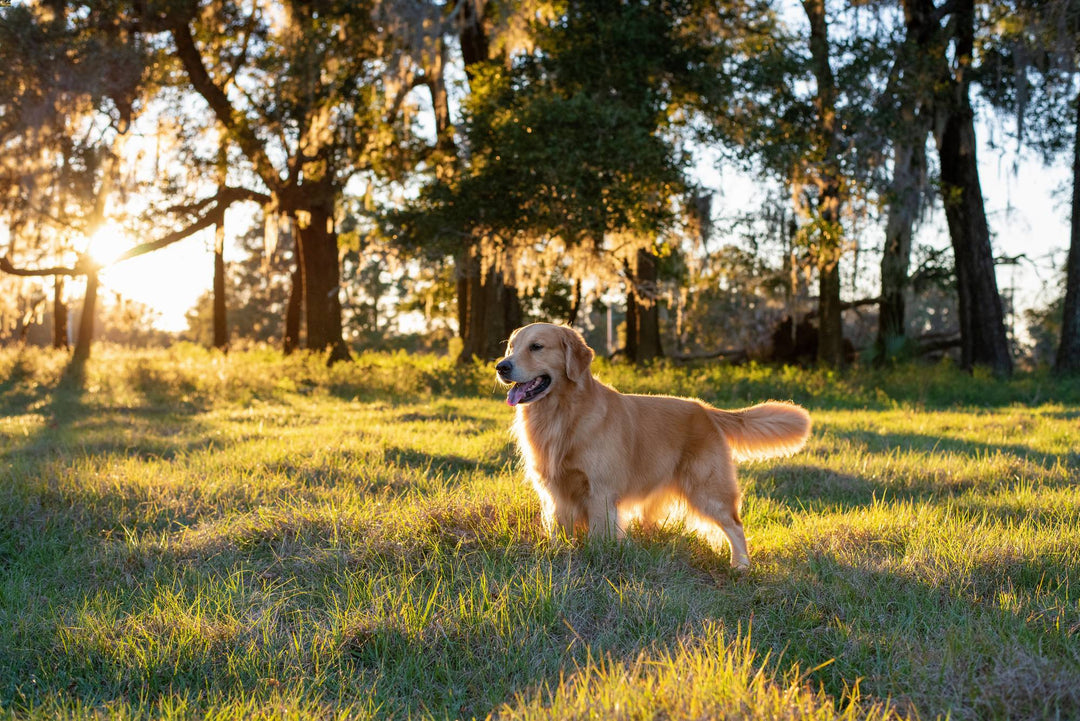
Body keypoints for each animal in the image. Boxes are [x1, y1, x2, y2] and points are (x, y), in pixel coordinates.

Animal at [496, 325, 812, 569]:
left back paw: (741, 565)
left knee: (735, 525)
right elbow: (558, 530)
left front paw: (597, 562)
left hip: (708, 489)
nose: (501, 366)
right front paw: (560, 556)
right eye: (511, 347)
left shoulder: (601, 491)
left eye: (536, 347)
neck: (563, 415)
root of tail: (705, 410)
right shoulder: (554, 491)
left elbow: (600, 536)